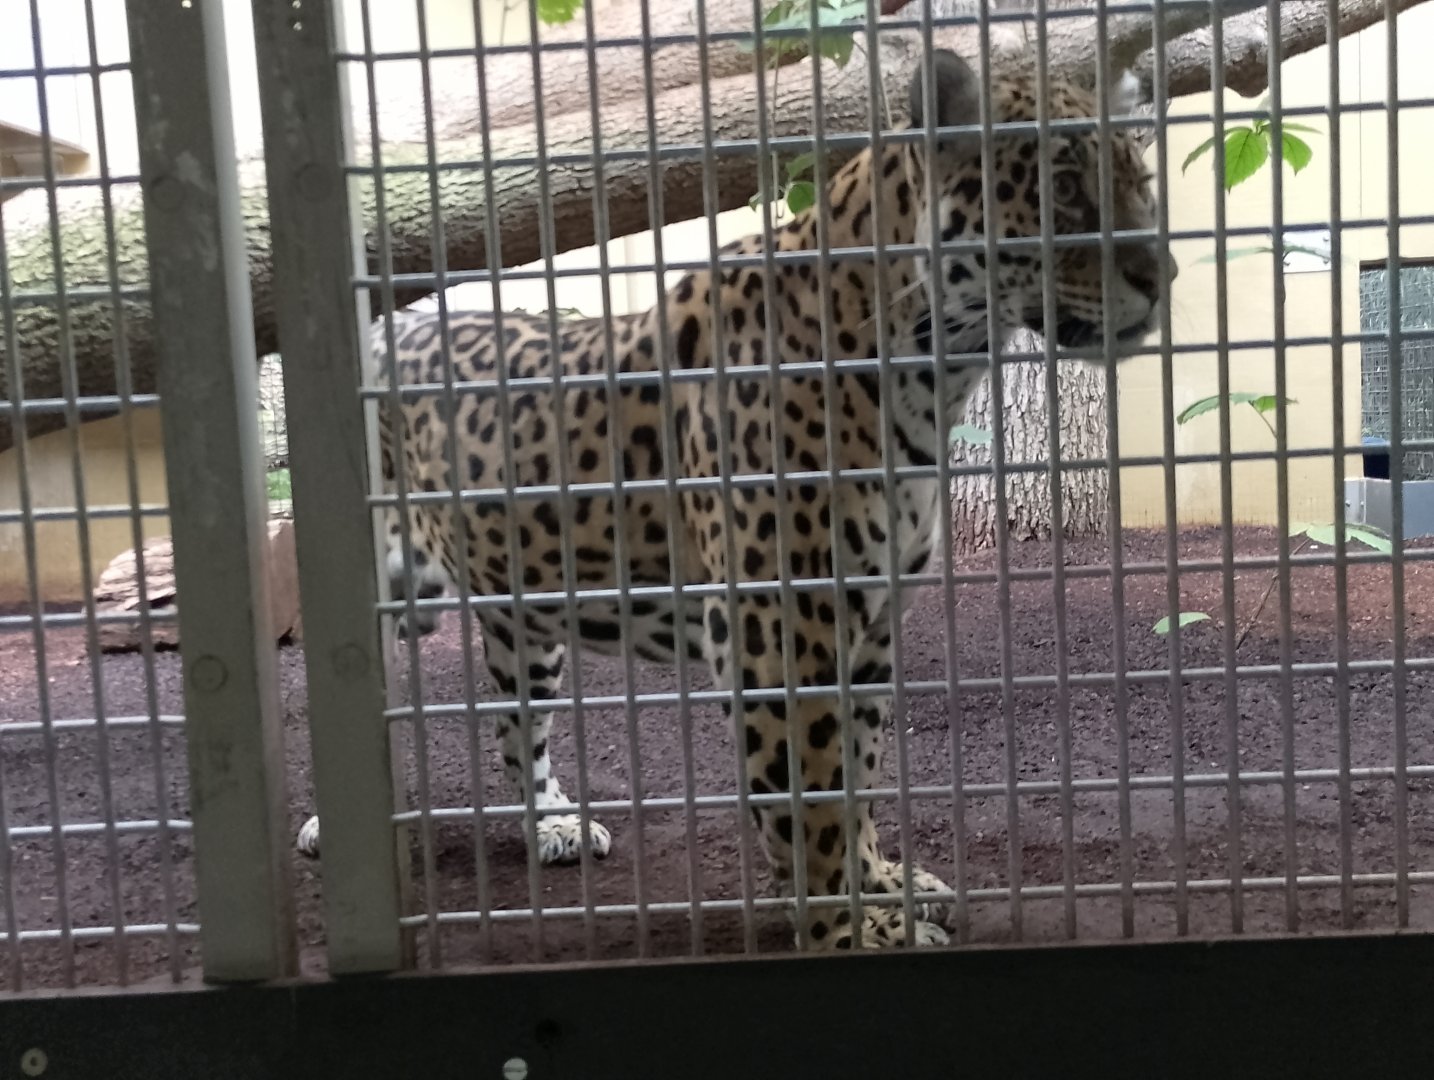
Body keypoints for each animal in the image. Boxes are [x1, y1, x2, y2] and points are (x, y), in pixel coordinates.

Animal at [297, 49, 1176, 951]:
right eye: (1062, 188)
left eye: (1139, 178)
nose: (1164, 274)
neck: (934, 366)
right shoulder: (779, 636)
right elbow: (813, 805)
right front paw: (846, 931)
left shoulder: (869, 631)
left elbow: (858, 778)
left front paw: (885, 888)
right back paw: (339, 829)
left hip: (523, 623)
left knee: (517, 727)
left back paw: (554, 822)